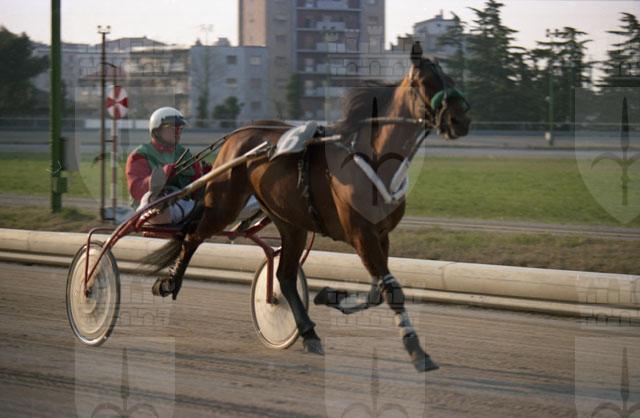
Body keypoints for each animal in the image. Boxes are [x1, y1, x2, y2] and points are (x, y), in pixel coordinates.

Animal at [144, 42, 471, 372]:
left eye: (450, 78)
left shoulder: (380, 234)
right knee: (192, 236)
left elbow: (378, 291)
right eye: (425, 82)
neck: (375, 157)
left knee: (284, 276)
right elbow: (392, 290)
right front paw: (417, 350)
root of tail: (238, 135)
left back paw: (308, 332)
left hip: (291, 222)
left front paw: (330, 296)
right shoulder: (361, 233)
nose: (460, 119)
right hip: (224, 205)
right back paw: (169, 282)